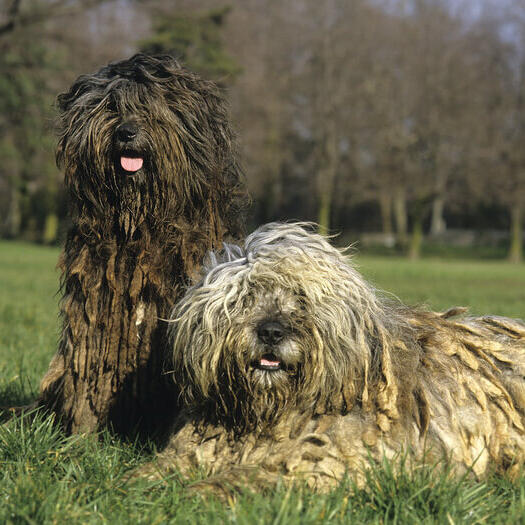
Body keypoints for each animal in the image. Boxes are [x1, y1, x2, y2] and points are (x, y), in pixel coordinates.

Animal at [37, 54, 246, 438]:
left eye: (150, 108)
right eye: (110, 107)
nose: (126, 132)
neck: (141, 228)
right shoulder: (96, 308)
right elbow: (90, 368)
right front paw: (82, 436)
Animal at [136, 223, 524, 494]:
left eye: (301, 298)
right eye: (246, 296)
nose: (272, 332)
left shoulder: (330, 458)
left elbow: (258, 475)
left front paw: (205, 489)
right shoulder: (198, 444)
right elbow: (160, 466)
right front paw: (136, 484)